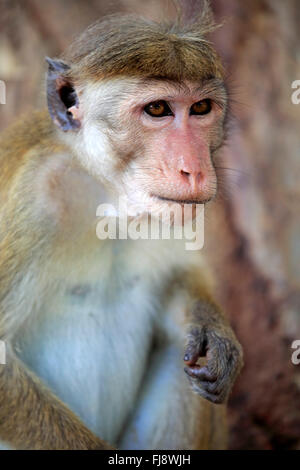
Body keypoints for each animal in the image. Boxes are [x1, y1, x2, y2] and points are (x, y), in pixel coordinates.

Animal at [0, 1, 243, 450]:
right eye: (158, 110)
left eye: (201, 108)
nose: (195, 170)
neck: (108, 196)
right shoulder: (34, 198)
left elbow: (183, 275)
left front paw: (213, 331)